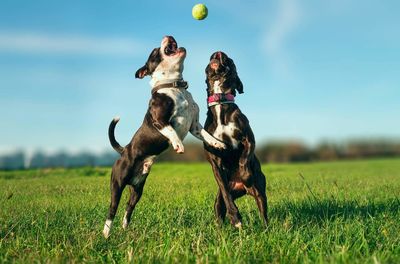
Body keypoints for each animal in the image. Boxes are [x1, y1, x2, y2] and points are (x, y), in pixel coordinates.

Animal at [101, 36, 227, 238]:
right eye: (154, 52)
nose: (168, 36)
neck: (174, 87)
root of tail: (124, 151)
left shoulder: (195, 126)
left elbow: (206, 135)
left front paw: (218, 143)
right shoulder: (159, 121)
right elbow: (171, 131)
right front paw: (178, 145)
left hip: (138, 189)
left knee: (129, 208)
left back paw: (125, 227)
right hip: (117, 185)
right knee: (112, 209)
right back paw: (106, 234)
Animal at [205, 51, 268, 227]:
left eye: (231, 61)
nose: (218, 52)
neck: (220, 101)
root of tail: (242, 189)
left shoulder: (249, 140)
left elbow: (244, 159)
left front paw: (246, 175)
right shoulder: (215, 162)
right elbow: (226, 193)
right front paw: (235, 217)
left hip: (260, 193)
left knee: (264, 214)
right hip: (218, 201)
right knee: (221, 208)